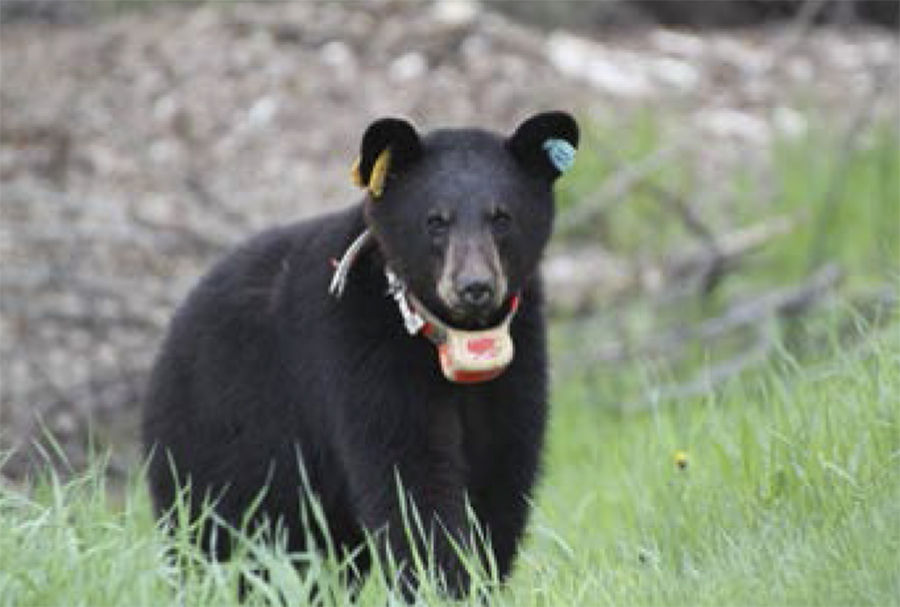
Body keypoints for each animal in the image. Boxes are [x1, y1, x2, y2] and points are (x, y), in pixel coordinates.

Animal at [141, 111, 576, 596]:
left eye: (502, 217)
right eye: (435, 220)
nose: (475, 287)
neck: (448, 340)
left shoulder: (518, 359)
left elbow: (502, 470)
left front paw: (480, 578)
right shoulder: (362, 346)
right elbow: (407, 471)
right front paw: (442, 581)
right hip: (220, 436)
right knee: (219, 534)